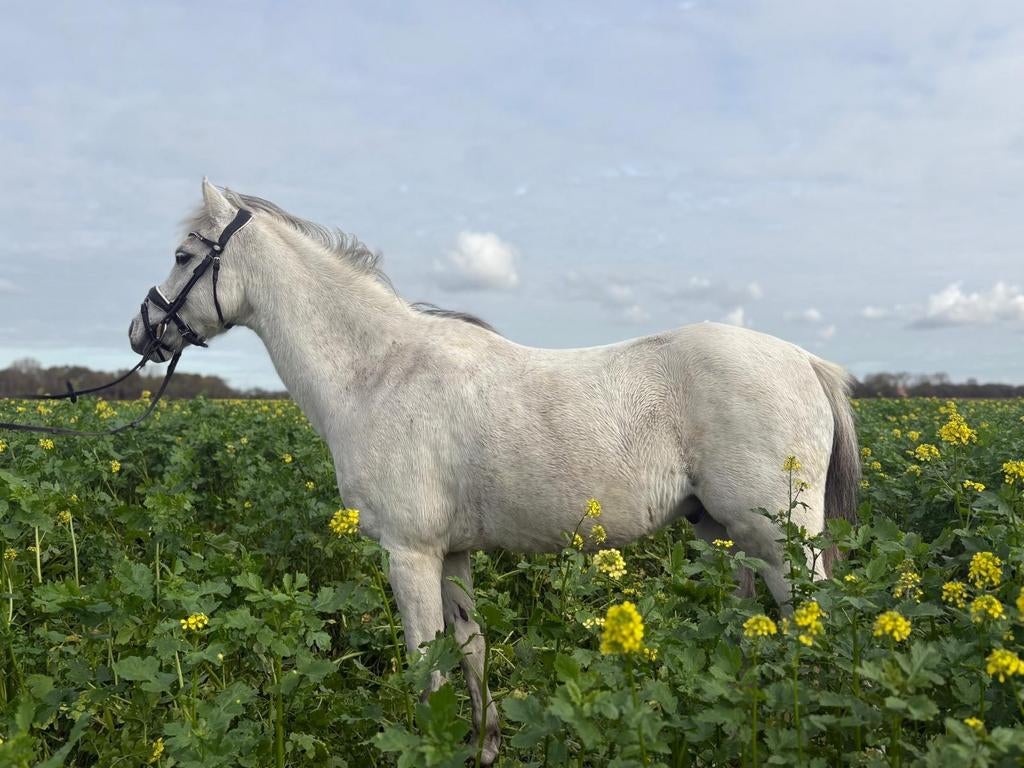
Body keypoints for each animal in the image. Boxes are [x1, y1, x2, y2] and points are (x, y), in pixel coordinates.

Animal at [128, 179, 860, 764]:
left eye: (184, 256)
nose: (142, 332)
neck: (378, 372)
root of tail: (806, 361)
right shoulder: (451, 554)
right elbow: (470, 648)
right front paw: (484, 746)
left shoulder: (409, 553)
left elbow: (427, 664)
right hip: (725, 533)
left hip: (780, 538)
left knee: (812, 622)